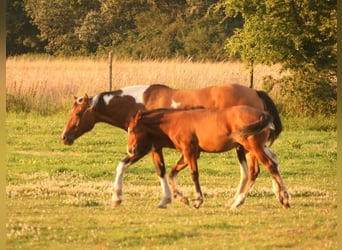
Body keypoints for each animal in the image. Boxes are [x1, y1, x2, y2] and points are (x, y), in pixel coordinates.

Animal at [127, 107, 290, 209]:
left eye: (132, 130)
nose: (130, 150)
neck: (175, 122)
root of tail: (263, 114)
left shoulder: (190, 151)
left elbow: (194, 174)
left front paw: (198, 201)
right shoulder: (190, 153)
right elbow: (173, 172)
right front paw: (182, 198)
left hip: (254, 147)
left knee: (270, 165)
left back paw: (285, 199)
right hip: (249, 150)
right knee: (256, 170)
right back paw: (238, 202)